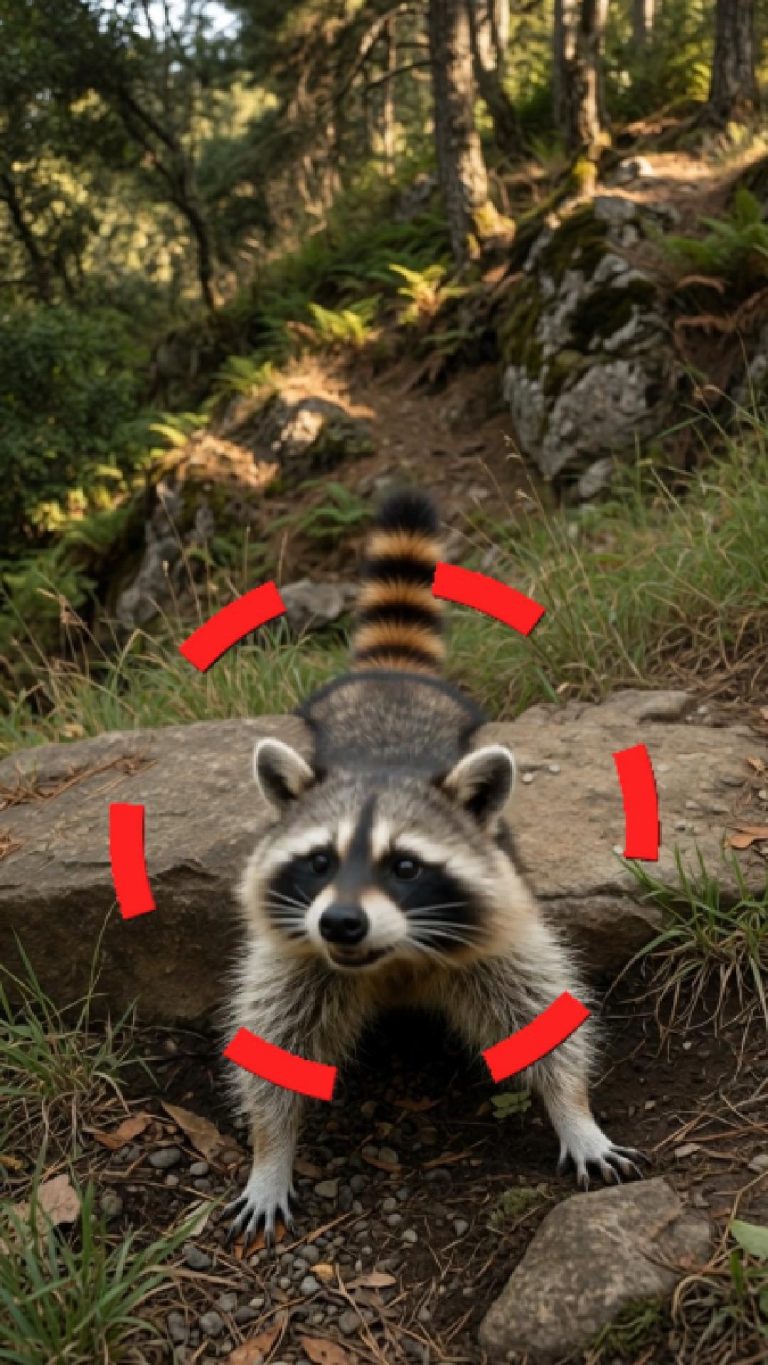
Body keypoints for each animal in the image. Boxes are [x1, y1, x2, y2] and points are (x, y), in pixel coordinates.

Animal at [225, 490, 644, 1245]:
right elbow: (273, 1045)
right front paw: (270, 1154)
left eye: (406, 865)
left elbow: (541, 1015)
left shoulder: (501, 927)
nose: (341, 923)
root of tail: (392, 683)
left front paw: (575, 1112)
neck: (391, 959)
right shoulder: (294, 952)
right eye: (320, 860)